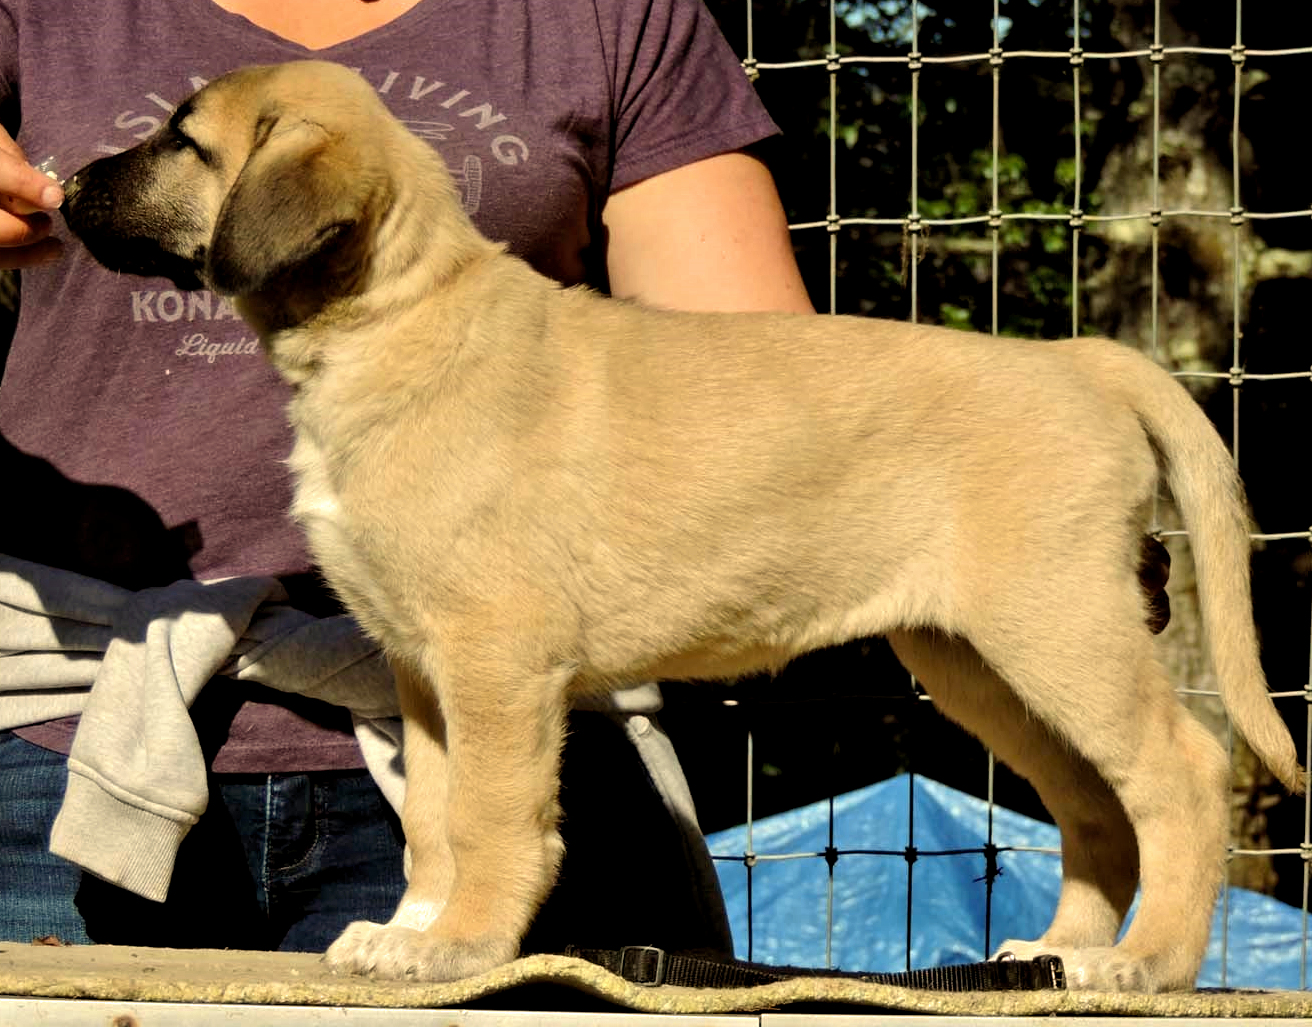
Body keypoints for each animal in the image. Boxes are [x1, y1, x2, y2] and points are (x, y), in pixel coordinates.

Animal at [63, 60, 1301, 991]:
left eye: (184, 141)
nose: (65, 182)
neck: (396, 321)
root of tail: (1083, 363)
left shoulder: (495, 658)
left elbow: (491, 816)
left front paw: (464, 944)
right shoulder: (420, 668)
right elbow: (432, 817)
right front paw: (414, 930)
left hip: (1056, 625)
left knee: (1181, 771)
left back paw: (1145, 964)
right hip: (979, 658)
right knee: (1093, 800)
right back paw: (1057, 953)